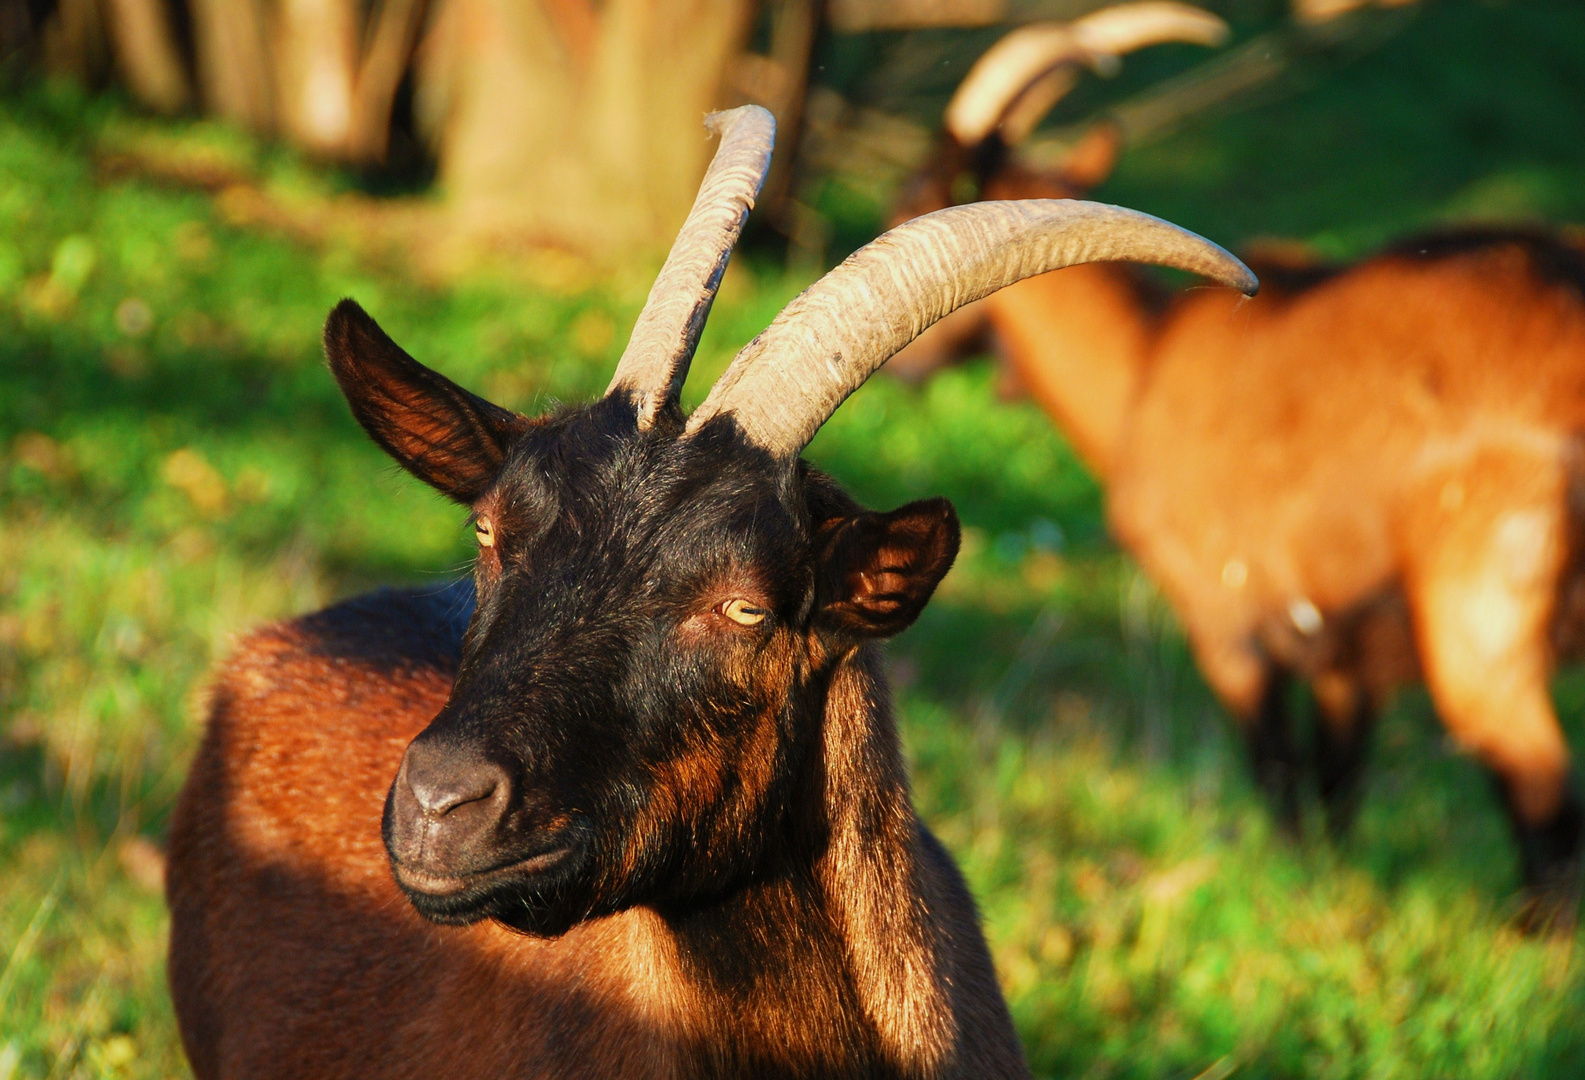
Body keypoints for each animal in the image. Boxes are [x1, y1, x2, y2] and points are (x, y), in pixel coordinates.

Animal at [893, 10, 1585, 919]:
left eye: (911, 198)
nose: (904, 371)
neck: (1144, 365)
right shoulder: (1339, 652)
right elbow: (1335, 789)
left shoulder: (1223, 620)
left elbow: (1278, 775)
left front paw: (1290, 890)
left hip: (1481, 618)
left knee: (1542, 795)